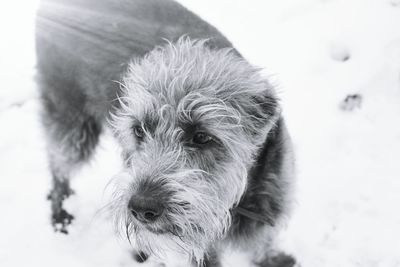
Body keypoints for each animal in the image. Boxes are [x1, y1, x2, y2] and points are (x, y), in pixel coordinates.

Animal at [36, 0, 296, 266]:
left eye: (202, 136)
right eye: (138, 130)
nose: (141, 208)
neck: (237, 202)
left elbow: (263, 242)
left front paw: (272, 258)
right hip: (70, 119)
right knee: (58, 164)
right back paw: (60, 215)